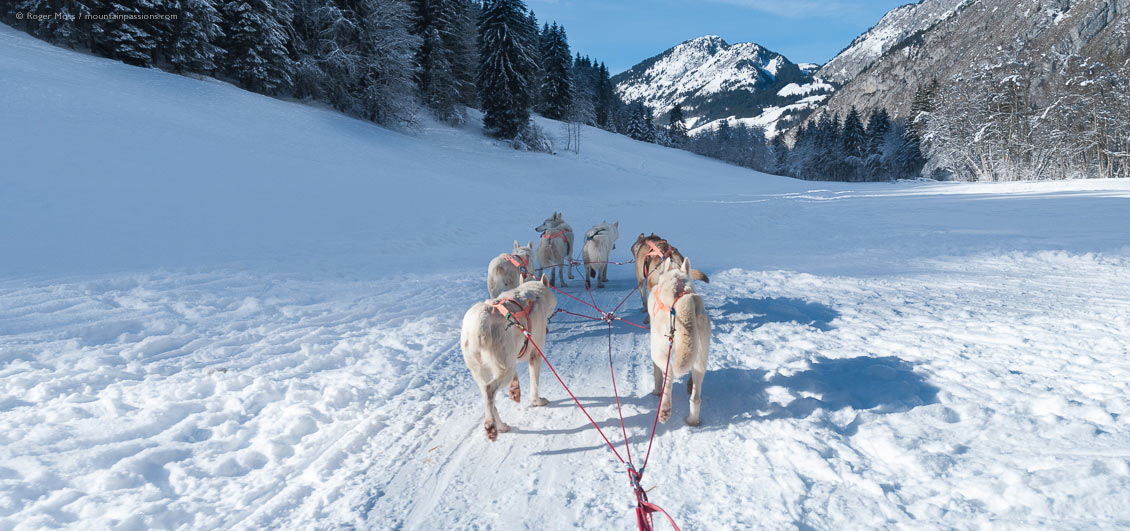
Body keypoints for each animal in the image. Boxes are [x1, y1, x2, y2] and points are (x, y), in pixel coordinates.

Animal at [458, 273, 555, 440]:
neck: (535, 294)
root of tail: (481, 321)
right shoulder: (535, 354)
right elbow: (534, 384)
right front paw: (537, 401)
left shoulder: (512, 357)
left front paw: (515, 391)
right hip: (504, 370)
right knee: (489, 390)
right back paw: (491, 426)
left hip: (482, 369)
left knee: (487, 396)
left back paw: (501, 426)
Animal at [650, 257, 709, 427]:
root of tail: (684, 297)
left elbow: (658, 374)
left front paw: (656, 391)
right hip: (700, 359)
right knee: (696, 398)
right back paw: (692, 420)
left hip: (659, 350)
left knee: (669, 374)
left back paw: (664, 409)